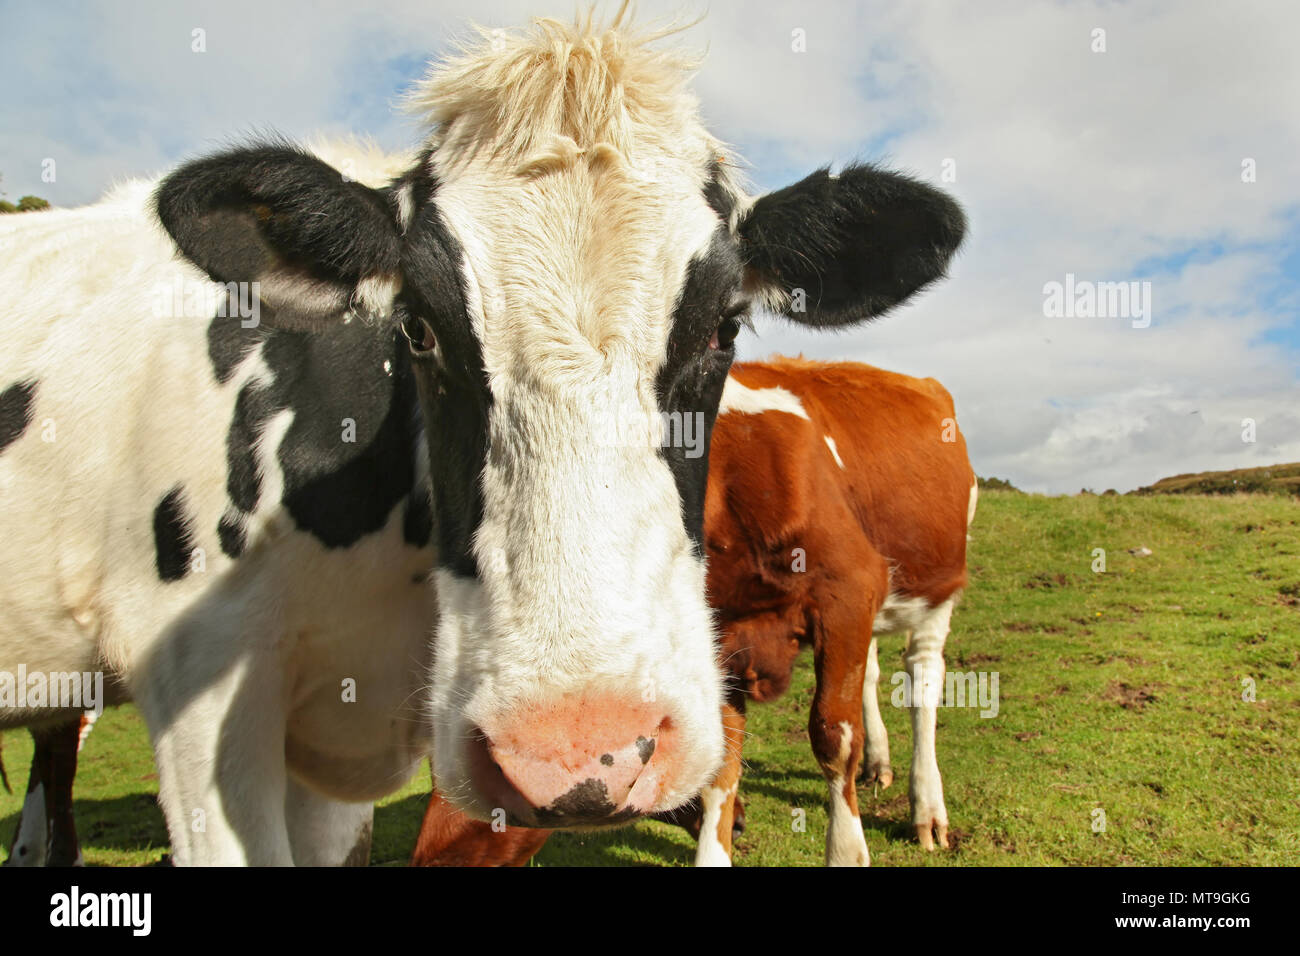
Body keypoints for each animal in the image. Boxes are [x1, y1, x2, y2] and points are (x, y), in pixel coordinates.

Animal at [408, 356, 977, 868]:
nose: (428, 859)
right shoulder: (717, 639)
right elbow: (722, 761)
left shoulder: (850, 588)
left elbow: (833, 735)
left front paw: (846, 852)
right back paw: (880, 765)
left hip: (939, 590)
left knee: (922, 680)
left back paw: (927, 808)